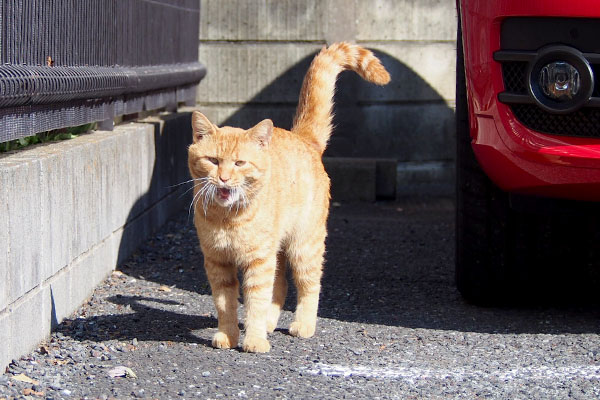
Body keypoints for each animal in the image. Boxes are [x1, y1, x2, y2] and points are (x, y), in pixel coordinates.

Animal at [190, 41, 392, 354]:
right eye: (212, 160)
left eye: (239, 163)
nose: (223, 178)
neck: (228, 219)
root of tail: (303, 137)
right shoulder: (218, 262)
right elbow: (225, 304)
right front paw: (229, 335)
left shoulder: (258, 260)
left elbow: (255, 300)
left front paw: (253, 340)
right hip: (280, 249)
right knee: (281, 286)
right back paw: (269, 324)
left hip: (303, 246)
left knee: (310, 286)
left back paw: (302, 325)